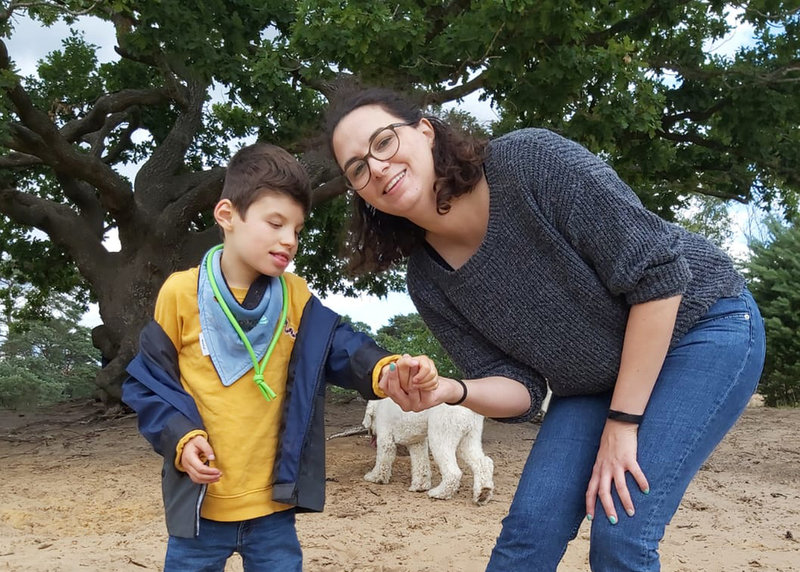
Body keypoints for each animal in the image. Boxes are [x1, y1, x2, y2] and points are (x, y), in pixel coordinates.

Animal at [362, 398, 494, 504]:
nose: (368, 430)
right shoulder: (417, 443)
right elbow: (421, 465)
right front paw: (420, 486)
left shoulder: (386, 440)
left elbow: (382, 462)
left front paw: (375, 477)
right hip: (469, 439)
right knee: (483, 463)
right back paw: (483, 493)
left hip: (441, 438)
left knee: (453, 472)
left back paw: (440, 494)